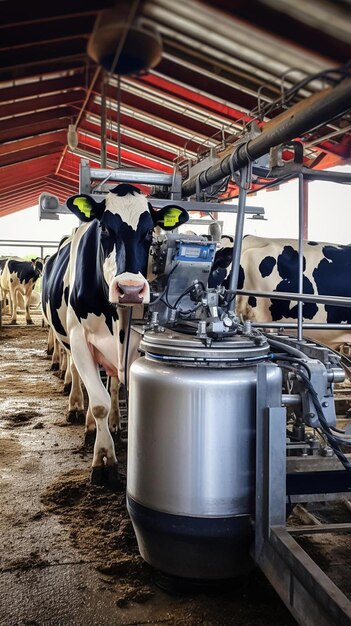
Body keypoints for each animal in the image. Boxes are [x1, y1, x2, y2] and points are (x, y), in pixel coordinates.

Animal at [42, 183, 190, 486]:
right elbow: (98, 402)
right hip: (67, 338)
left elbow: (121, 393)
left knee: (110, 384)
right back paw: (79, 412)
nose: (130, 289)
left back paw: (110, 424)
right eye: (105, 229)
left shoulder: (135, 340)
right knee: (77, 375)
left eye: (150, 232)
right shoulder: (79, 339)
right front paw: (104, 460)